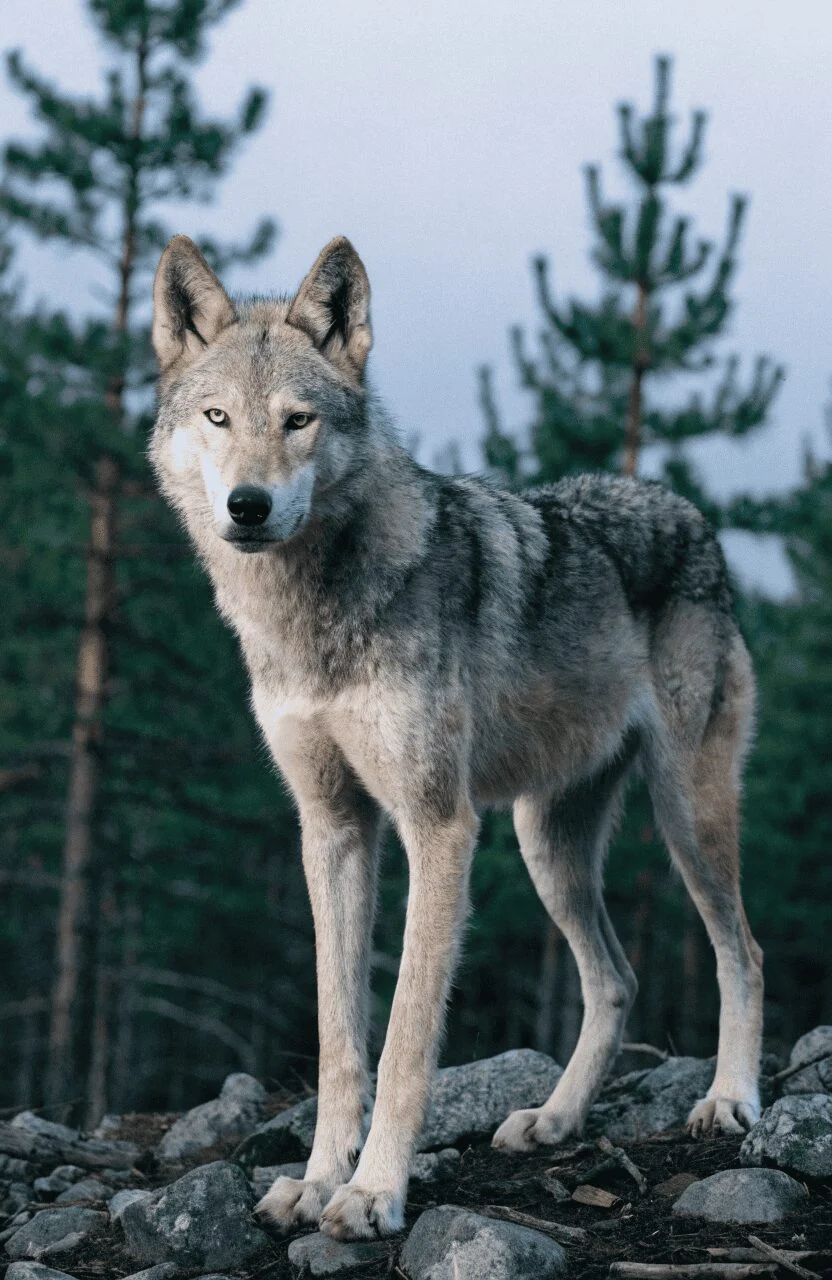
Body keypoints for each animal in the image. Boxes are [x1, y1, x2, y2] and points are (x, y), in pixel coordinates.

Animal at [150, 234, 764, 1241]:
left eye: (297, 421)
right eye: (217, 416)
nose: (247, 505)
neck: (311, 616)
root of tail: (688, 513)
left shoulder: (439, 826)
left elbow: (404, 1037)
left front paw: (372, 1194)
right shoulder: (333, 830)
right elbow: (338, 1037)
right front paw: (314, 1183)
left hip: (684, 818)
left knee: (740, 953)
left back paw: (729, 1100)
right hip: (547, 846)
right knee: (616, 979)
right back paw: (554, 1118)